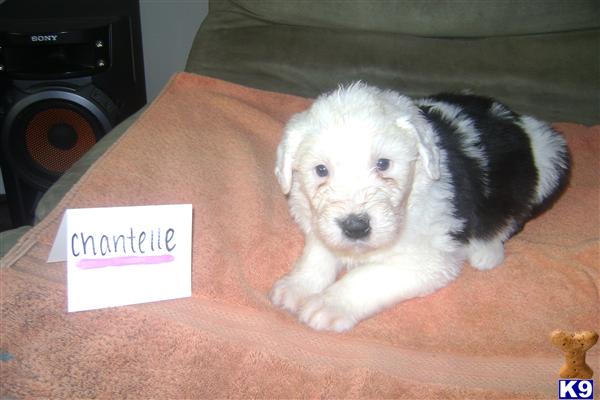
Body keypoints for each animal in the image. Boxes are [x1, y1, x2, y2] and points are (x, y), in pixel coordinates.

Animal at [270, 81, 568, 332]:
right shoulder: (318, 223)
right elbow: (317, 252)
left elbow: (370, 275)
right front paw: (297, 286)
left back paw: (486, 251)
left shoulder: (430, 259)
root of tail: (516, 118)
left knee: (514, 218)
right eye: (321, 170)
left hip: (551, 158)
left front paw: (330, 303)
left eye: (383, 164)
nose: (355, 227)